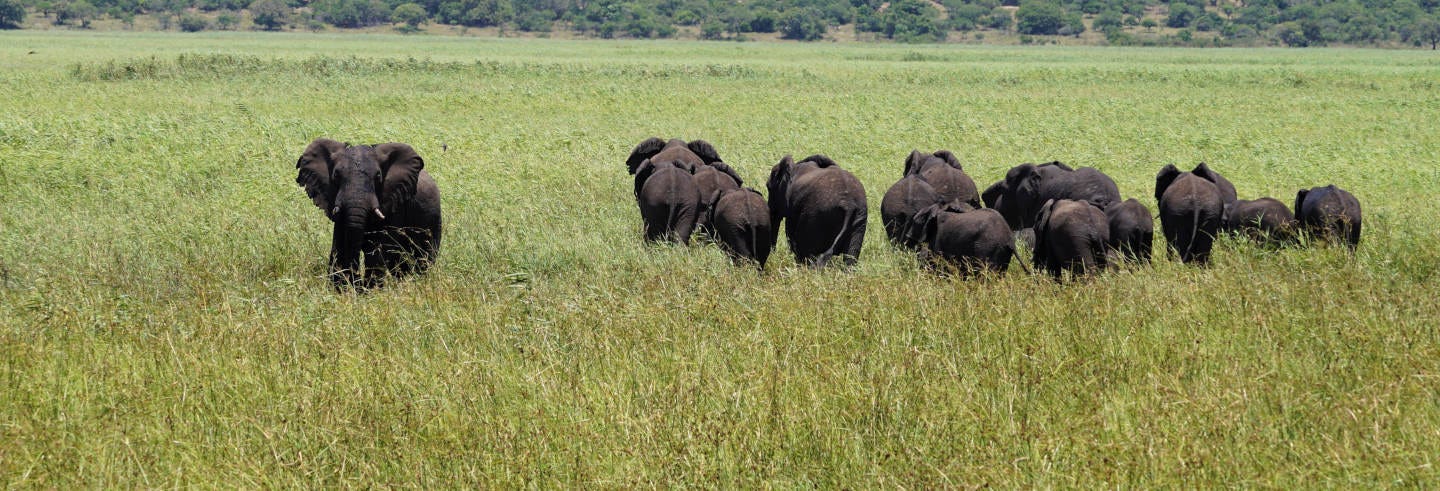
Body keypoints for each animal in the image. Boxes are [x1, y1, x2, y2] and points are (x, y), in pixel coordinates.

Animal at [295, 137, 440, 289]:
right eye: (336, 175)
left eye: (378, 176)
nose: (356, 280)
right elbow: (338, 245)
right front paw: (341, 288)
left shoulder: (394, 204)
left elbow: (377, 250)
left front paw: (369, 290)